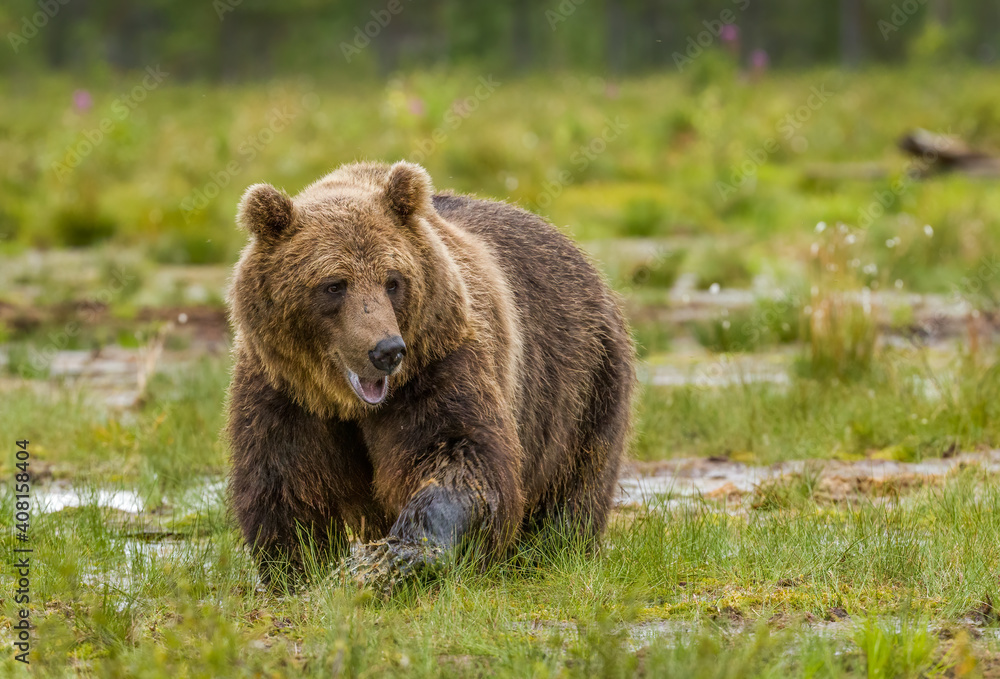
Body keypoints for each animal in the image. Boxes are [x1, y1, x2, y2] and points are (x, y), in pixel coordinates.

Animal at [226, 161, 632, 588]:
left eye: (393, 281)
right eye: (334, 285)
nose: (386, 351)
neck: (348, 404)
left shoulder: (438, 362)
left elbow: (456, 455)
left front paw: (397, 555)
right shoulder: (283, 389)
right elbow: (286, 481)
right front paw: (301, 570)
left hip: (581, 379)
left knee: (575, 483)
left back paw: (556, 548)